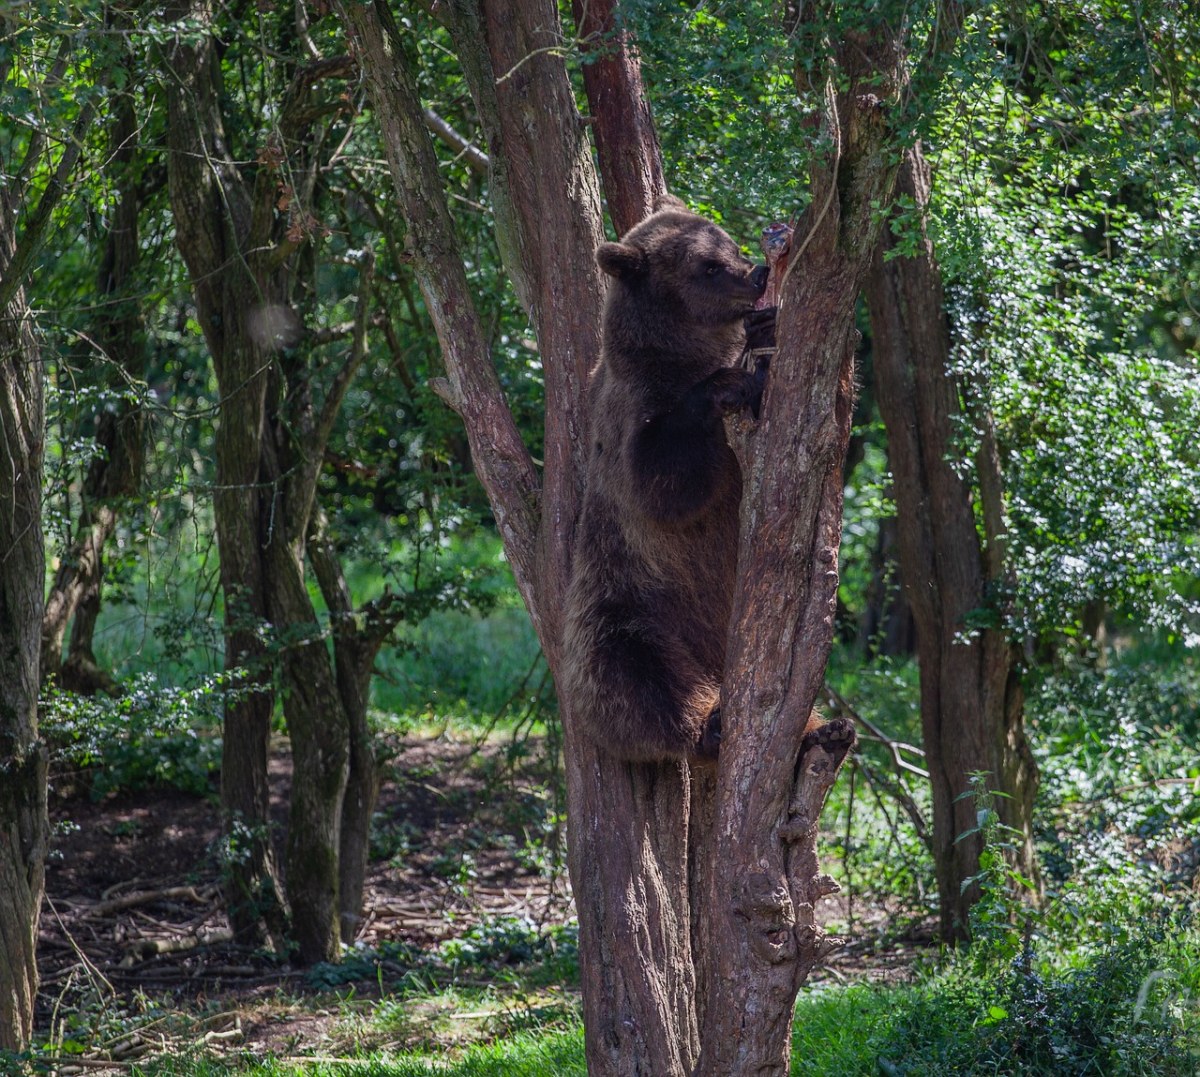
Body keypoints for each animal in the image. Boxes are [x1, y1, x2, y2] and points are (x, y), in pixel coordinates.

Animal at [564, 196, 777, 757]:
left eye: (730, 243)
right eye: (707, 266)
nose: (758, 274)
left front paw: (765, 332)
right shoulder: (629, 414)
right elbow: (665, 484)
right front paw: (731, 381)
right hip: (625, 602)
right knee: (634, 675)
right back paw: (710, 724)